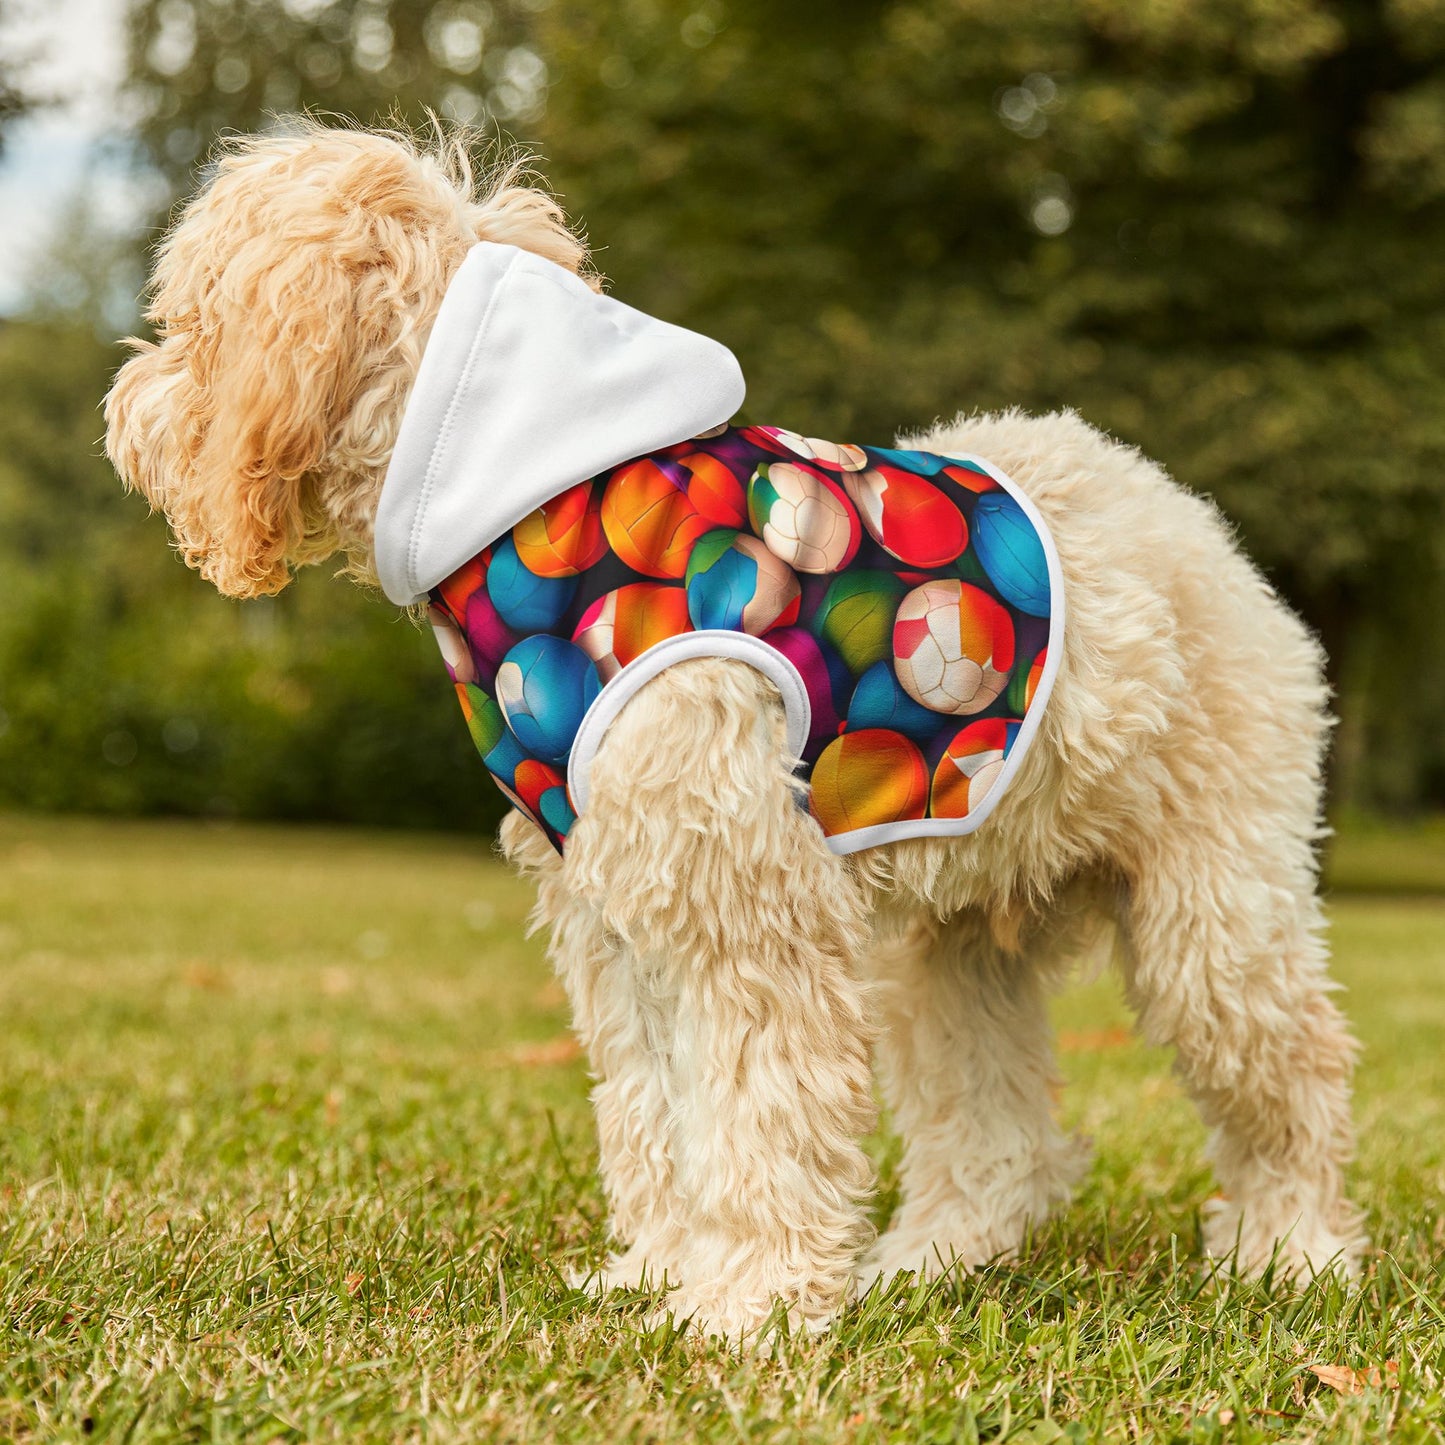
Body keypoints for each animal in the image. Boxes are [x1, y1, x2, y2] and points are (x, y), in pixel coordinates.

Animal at [104, 124, 1364, 1340]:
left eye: (191, 319)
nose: (123, 408)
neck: (534, 499)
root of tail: (1188, 519)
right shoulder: (618, 913)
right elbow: (656, 1111)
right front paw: (662, 1273)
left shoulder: (744, 905)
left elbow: (759, 1110)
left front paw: (747, 1304)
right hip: (949, 947)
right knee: (995, 1133)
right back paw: (930, 1260)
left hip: (1212, 912)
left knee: (1292, 1073)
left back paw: (1290, 1251)